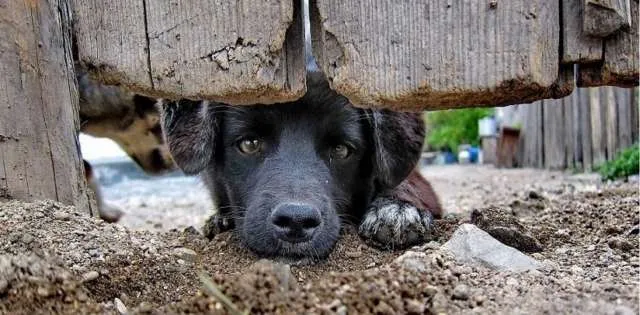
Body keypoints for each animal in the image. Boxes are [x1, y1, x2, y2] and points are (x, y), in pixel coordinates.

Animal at [159, 71, 440, 260]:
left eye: (341, 150)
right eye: (249, 144)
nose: (296, 222)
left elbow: (406, 184)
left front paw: (396, 209)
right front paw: (220, 219)